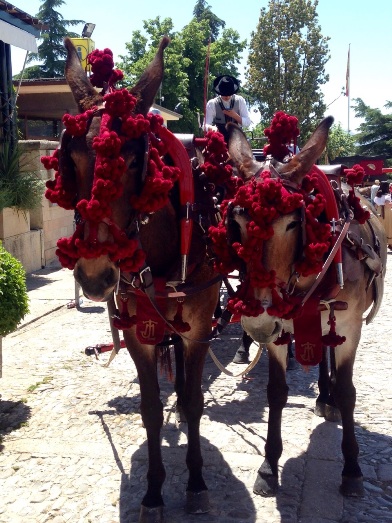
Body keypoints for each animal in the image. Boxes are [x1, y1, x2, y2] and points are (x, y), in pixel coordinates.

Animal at [44, 37, 222, 523]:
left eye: (137, 157)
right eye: (69, 157)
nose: (95, 274)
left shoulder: (200, 327)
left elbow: (194, 401)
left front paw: (196, 483)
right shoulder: (139, 330)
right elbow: (149, 408)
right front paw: (154, 492)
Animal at [214, 117, 388, 500]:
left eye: (294, 222)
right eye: (237, 221)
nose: (258, 324)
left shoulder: (350, 326)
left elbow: (349, 393)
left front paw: (352, 470)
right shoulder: (282, 328)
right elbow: (276, 393)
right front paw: (269, 467)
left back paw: (328, 397)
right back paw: (323, 393)